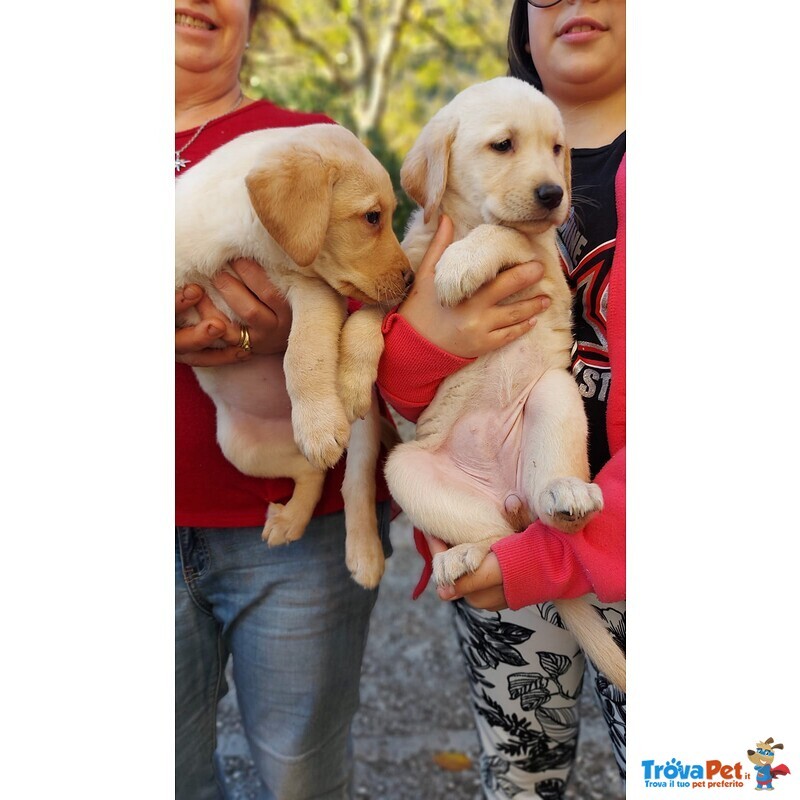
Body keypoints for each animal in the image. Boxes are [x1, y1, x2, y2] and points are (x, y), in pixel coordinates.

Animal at [177, 125, 410, 588]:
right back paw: (292, 519)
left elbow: (302, 356)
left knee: (353, 485)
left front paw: (317, 425)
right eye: (372, 217)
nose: (412, 279)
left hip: (361, 424)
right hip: (240, 449)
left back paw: (364, 553)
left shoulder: (314, 293)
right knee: (311, 472)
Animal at [386, 78, 624, 692]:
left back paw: (569, 496)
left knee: (545, 512)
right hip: (407, 470)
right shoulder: (414, 254)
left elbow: (506, 235)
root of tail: (505, 493)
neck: (464, 221)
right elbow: (377, 315)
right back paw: (458, 557)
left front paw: (460, 265)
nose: (552, 193)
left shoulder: (539, 258)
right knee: (497, 537)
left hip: (553, 397)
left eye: (557, 149)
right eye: (503, 145)